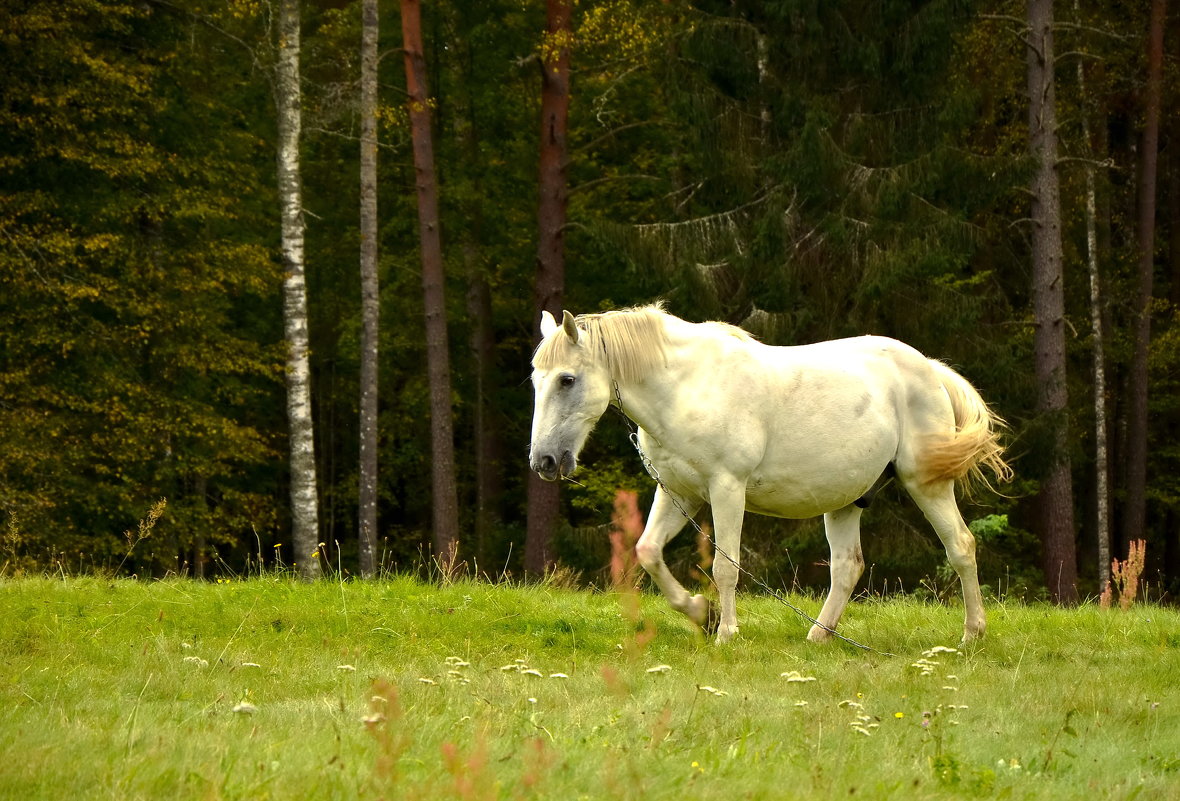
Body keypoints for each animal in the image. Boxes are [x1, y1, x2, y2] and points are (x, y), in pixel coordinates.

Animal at [531, 304, 1010, 646]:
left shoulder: (727, 489)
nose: (544, 462)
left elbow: (725, 566)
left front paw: (725, 634)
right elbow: (648, 552)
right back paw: (818, 636)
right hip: (847, 500)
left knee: (961, 547)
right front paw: (701, 614)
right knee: (847, 567)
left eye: (567, 379)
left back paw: (972, 635)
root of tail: (929, 367)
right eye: (537, 380)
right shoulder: (678, 493)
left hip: (927, 485)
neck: (685, 388)